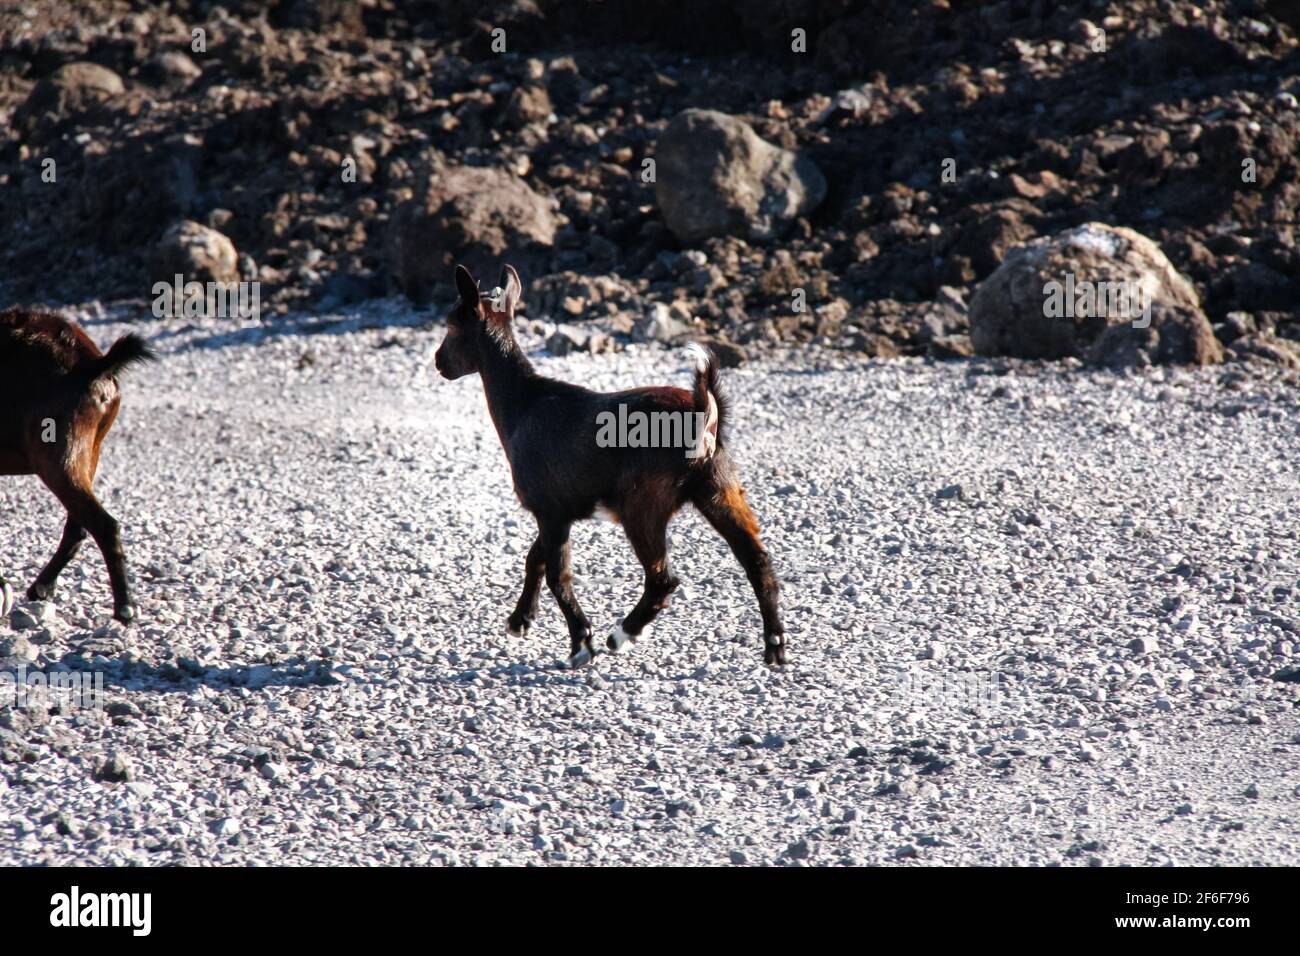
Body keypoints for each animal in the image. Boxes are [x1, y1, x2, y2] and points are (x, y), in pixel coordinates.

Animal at [0, 307, 155, 623]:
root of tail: (94, 365)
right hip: (89, 449)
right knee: (78, 527)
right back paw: (42, 587)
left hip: (58, 451)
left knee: (104, 525)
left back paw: (124, 607)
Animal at [434, 263, 786, 667]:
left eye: (452, 326)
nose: (439, 363)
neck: (523, 403)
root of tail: (704, 411)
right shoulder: (557, 509)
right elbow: (535, 558)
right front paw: (520, 620)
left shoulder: (549, 510)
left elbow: (557, 575)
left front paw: (579, 644)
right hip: (718, 487)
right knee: (757, 561)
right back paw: (775, 646)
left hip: (642, 504)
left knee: (662, 579)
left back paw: (622, 634)